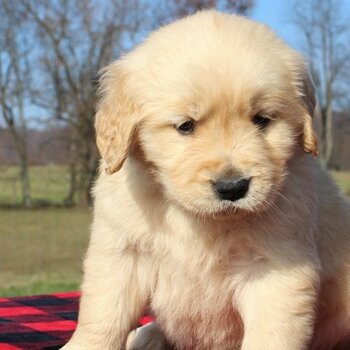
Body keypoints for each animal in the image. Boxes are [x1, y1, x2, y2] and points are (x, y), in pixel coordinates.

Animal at [62, 10, 350, 350]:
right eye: (185, 125)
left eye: (261, 120)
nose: (233, 187)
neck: (196, 218)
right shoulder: (122, 253)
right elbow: (101, 317)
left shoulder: (275, 268)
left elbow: (271, 334)